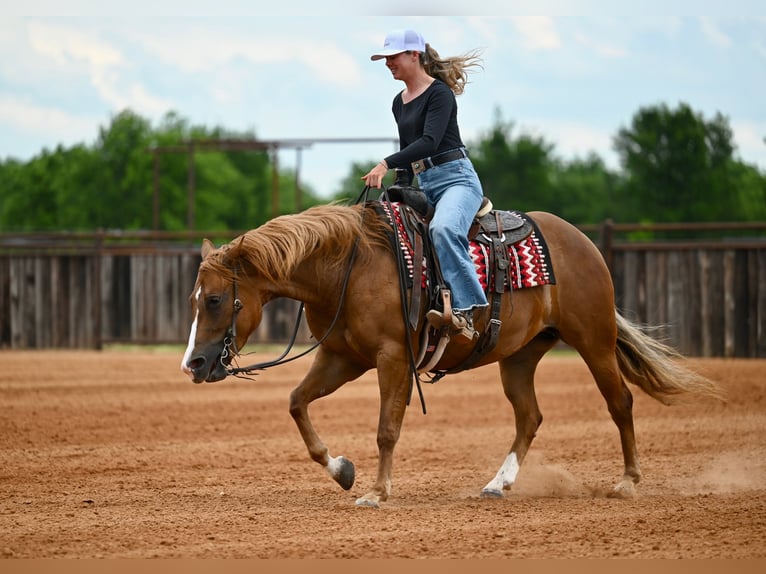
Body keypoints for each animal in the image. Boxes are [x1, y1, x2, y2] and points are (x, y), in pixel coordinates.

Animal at [180, 202, 721, 508]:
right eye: (195, 298)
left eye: (215, 299)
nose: (194, 365)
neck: (349, 267)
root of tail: (581, 241)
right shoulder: (341, 357)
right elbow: (296, 403)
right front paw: (342, 471)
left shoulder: (391, 358)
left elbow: (387, 428)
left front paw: (376, 492)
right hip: (520, 356)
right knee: (530, 416)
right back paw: (498, 484)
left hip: (594, 339)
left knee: (619, 402)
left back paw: (628, 482)